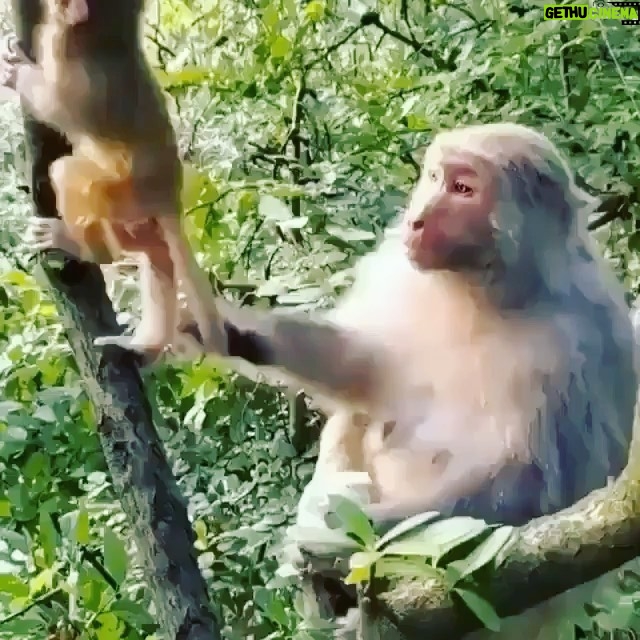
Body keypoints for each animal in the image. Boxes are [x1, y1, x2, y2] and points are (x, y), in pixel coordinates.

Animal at [1, 0, 224, 360]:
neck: (102, 40)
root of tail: (168, 194)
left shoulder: (84, 85)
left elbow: (52, 106)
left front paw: (16, 73)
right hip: (135, 212)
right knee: (156, 252)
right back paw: (145, 341)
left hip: (124, 193)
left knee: (66, 172)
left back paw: (80, 246)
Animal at [212, 122, 636, 636]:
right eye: (434, 177)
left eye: (462, 188)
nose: (415, 219)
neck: (483, 290)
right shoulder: (401, 271)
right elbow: (363, 368)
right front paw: (233, 328)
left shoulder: (579, 344)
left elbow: (541, 493)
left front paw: (340, 534)